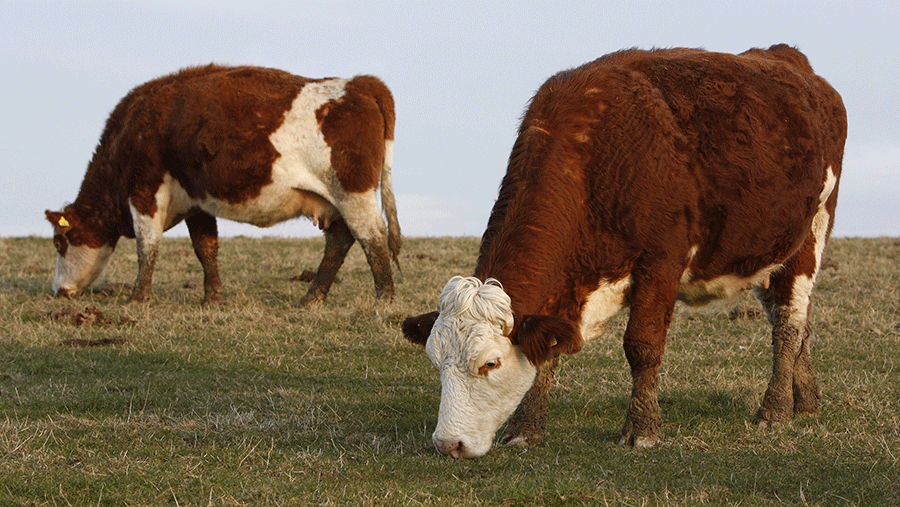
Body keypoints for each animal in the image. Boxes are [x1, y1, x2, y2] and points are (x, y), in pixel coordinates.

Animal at [45, 66, 400, 308]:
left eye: (59, 242)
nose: (58, 291)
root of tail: (359, 83)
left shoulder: (145, 192)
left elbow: (147, 247)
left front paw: (137, 298)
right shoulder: (196, 201)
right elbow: (206, 247)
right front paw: (212, 297)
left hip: (353, 193)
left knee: (372, 236)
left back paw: (384, 299)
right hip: (338, 200)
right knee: (340, 240)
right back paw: (311, 299)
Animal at [404, 46, 848, 460]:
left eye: (490, 363)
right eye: (435, 361)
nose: (448, 443)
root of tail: (786, 57)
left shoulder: (661, 262)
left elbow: (642, 347)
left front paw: (644, 429)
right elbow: (546, 355)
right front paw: (526, 429)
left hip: (812, 234)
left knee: (789, 322)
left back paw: (776, 408)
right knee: (793, 319)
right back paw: (806, 400)